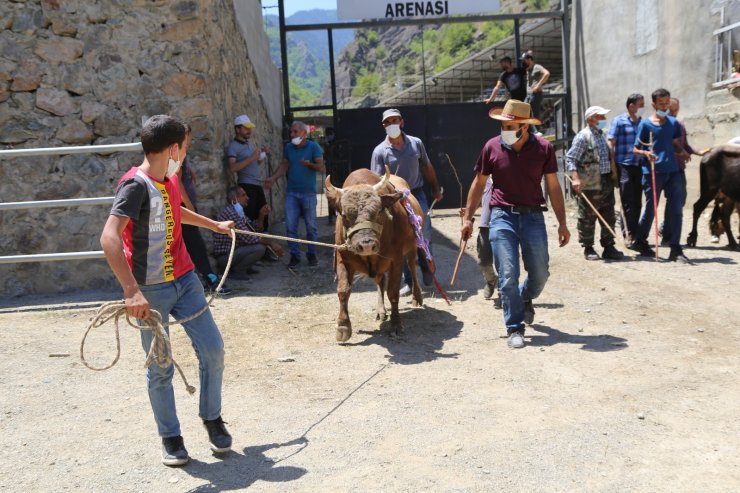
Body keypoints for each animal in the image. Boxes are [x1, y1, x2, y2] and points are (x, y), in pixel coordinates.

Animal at [326, 166, 424, 342]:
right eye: (344, 215)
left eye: (379, 211)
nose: (367, 245)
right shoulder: (343, 258)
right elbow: (343, 290)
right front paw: (343, 326)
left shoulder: (396, 260)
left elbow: (393, 292)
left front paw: (396, 325)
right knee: (380, 282)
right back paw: (381, 310)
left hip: (412, 247)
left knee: (412, 268)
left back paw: (416, 297)